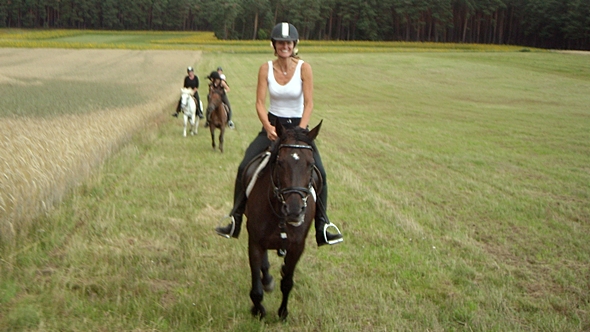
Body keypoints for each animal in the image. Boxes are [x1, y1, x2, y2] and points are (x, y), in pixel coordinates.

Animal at [244, 120, 322, 320]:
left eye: (311, 164)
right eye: (280, 163)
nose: (294, 211)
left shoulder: (297, 247)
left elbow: (287, 282)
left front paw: (283, 313)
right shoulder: (254, 242)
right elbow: (256, 287)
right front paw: (258, 311)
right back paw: (267, 280)